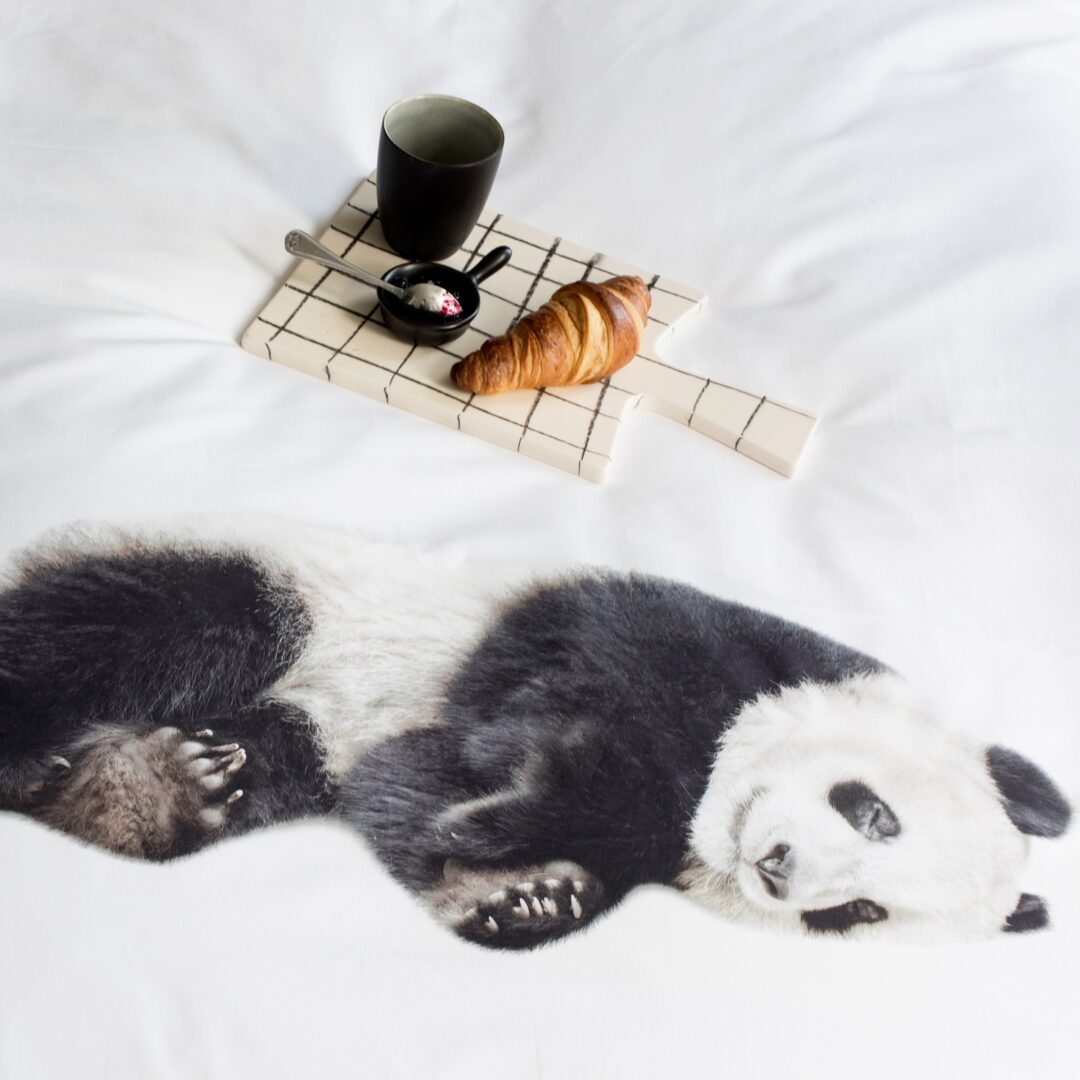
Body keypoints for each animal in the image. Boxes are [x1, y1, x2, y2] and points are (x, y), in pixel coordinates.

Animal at [0, 517, 1071, 950]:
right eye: (873, 811)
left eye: (855, 913)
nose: (778, 870)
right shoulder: (656, 626)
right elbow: (565, 691)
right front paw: (514, 834)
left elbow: (404, 791)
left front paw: (525, 896)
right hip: (273, 585)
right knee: (146, 625)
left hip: (296, 727)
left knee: (265, 757)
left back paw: (148, 793)